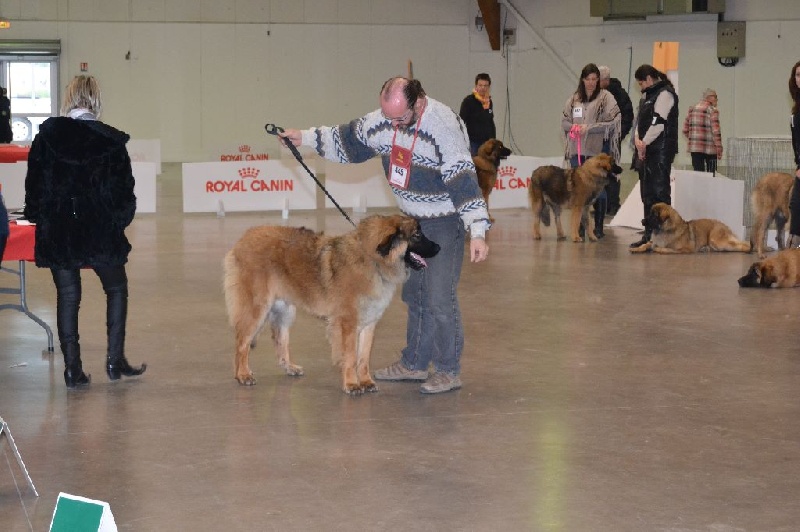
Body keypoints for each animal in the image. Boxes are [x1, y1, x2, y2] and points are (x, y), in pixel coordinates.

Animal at [223, 215, 440, 395]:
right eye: (417, 235)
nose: (438, 247)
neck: (372, 260)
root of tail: (244, 239)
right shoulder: (348, 324)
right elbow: (351, 357)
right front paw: (352, 384)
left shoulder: (369, 324)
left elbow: (363, 358)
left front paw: (366, 382)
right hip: (257, 308)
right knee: (242, 341)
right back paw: (243, 374)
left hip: (285, 309)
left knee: (279, 338)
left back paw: (288, 366)